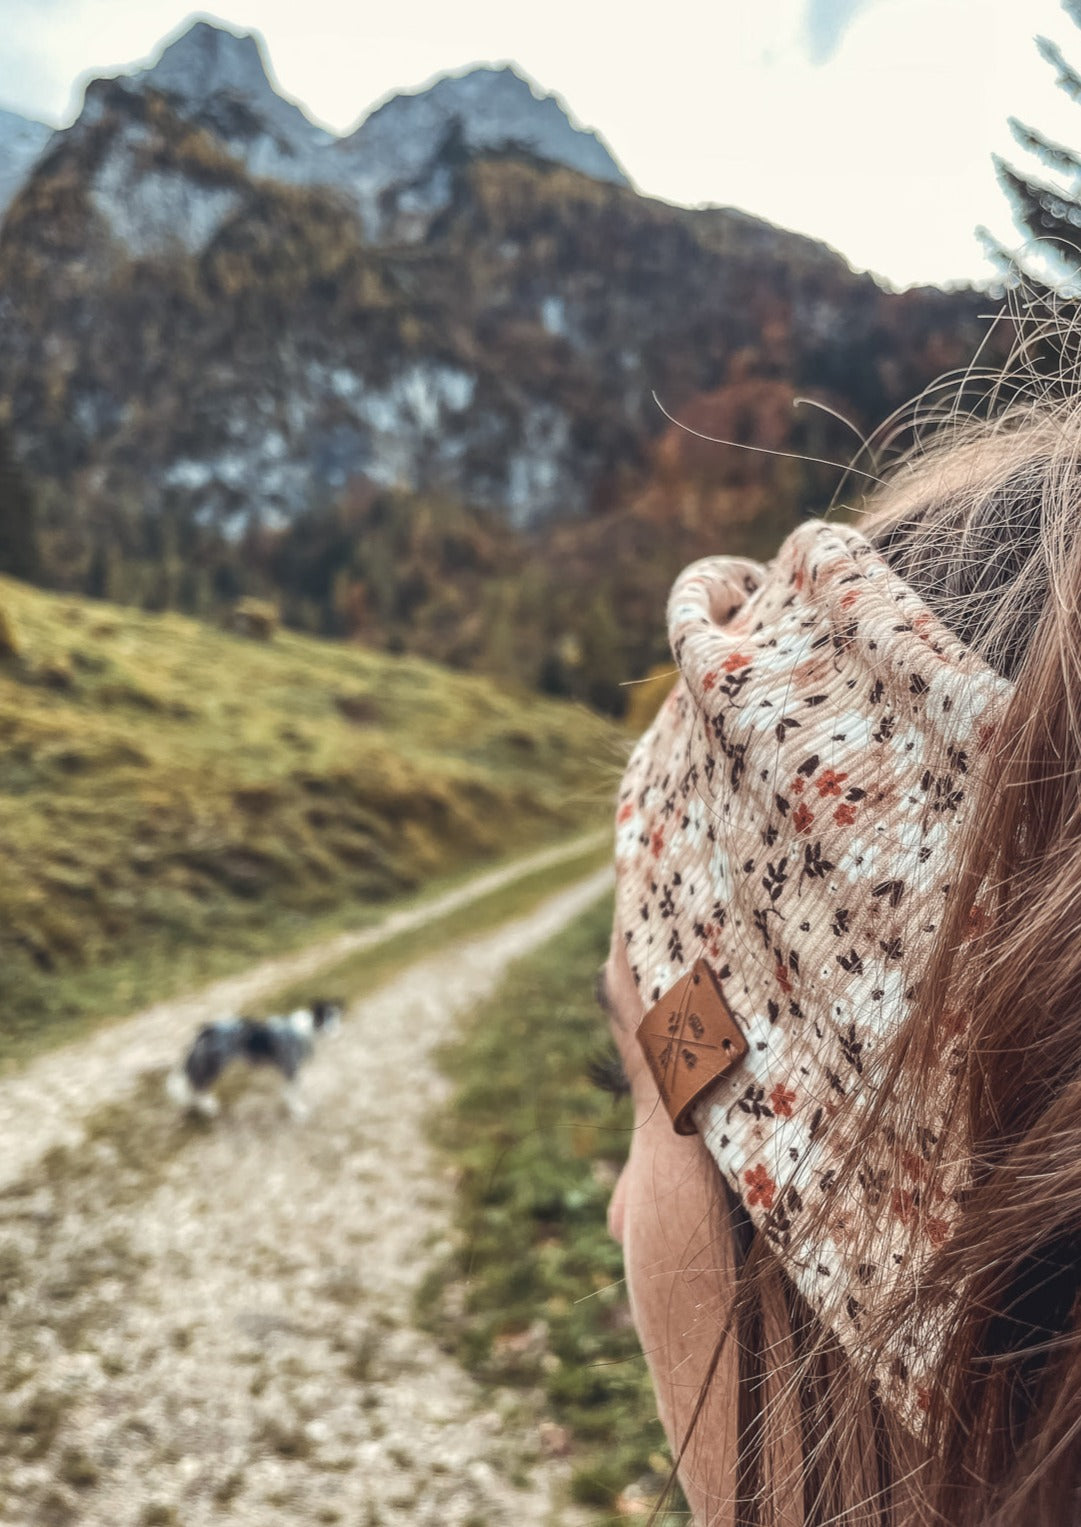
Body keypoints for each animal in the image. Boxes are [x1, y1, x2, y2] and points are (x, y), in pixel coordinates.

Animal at [165, 1001, 342, 1123]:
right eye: (328, 1020)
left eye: (336, 1019)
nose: (338, 1030)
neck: (308, 1028)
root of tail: (208, 1030)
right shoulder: (291, 1068)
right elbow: (293, 1093)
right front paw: (299, 1111)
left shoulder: (287, 1070)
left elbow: (287, 1092)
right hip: (214, 1064)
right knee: (198, 1087)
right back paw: (209, 1107)